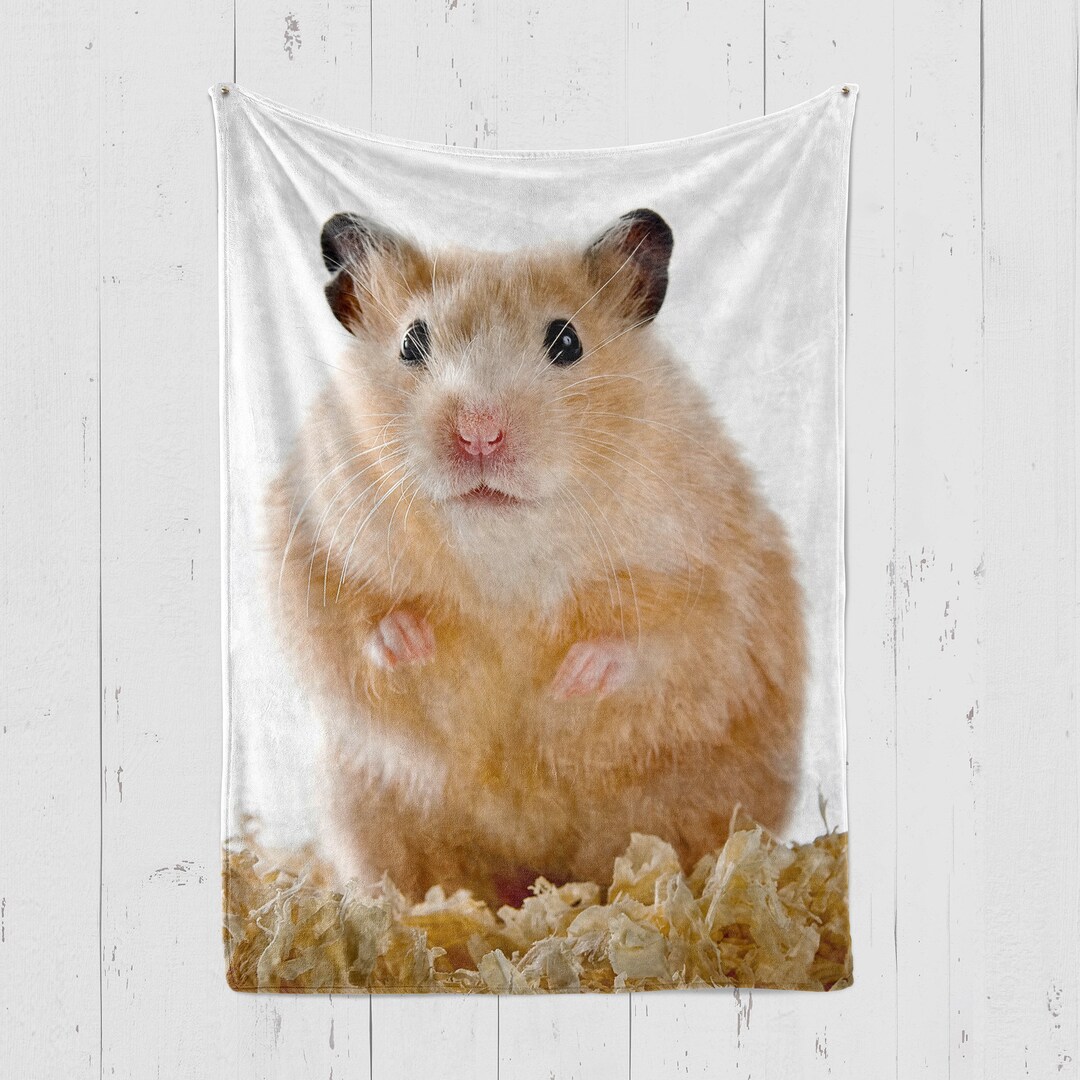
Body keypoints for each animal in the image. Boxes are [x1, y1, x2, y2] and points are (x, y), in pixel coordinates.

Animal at [267, 207, 806, 909]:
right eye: (412, 342)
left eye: (568, 342)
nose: (479, 434)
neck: (503, 548)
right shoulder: (308, 543)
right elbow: (350, 621)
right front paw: (414, 641)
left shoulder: (715, 575)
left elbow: (663, 638)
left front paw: (572, 677)